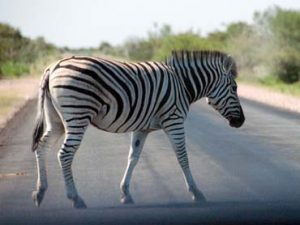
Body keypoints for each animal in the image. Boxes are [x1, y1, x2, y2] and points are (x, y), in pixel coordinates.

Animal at [31, 50, 245, 208]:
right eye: (234, 88)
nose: (241, 121)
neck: (183, 84)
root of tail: (52, 67)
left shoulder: (142, 128)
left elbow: (133, 157)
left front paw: (125, 193)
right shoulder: (174, 120)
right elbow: (182, 156)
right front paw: (196, 192)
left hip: (56, 120)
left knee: (42, 146)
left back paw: (40, 192)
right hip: (77, 114)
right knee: (64, 154)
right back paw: (75, 198)